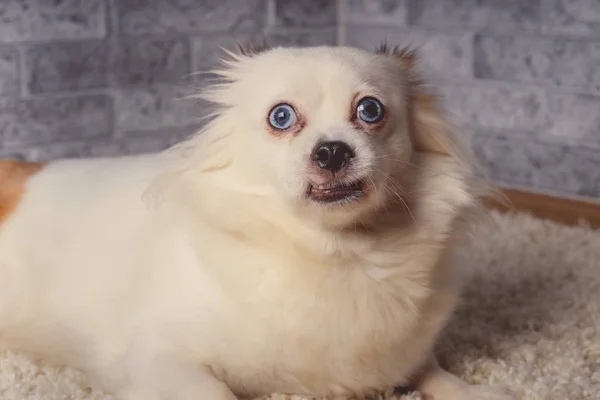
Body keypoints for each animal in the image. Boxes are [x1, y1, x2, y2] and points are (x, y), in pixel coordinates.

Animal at [0, 44, 510, 400]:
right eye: (281, 117)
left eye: (370, 110)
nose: (332, 150)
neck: (339, 251)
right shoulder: (158, 357)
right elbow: (217, 392)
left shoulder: (406, 358)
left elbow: (438, 374)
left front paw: (480, 391)